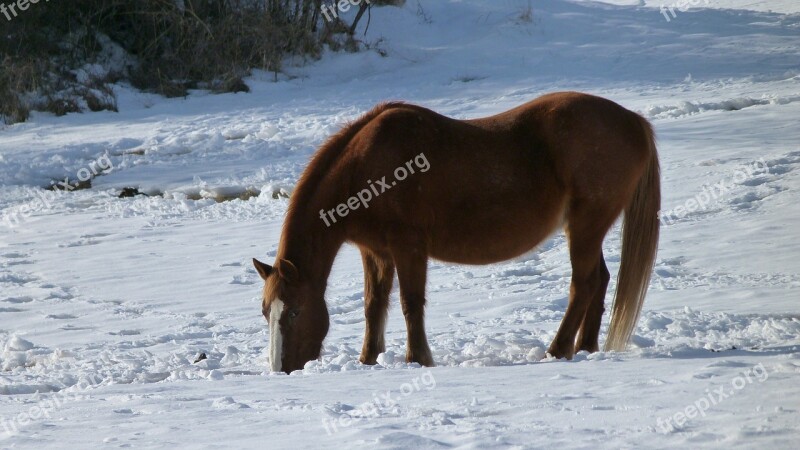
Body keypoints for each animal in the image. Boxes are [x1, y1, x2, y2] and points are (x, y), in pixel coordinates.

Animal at [256, 91, 664, 372]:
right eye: (265, 311)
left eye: (294, 311)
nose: (282, 369)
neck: (368, 169)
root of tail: (633, 121)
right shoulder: (376, 252)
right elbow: (374, 305)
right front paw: (368, 359)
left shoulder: (408, 247)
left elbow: (409, 303)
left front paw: (418, 358)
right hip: (588, 229)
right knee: (600, 279)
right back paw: (586, 348)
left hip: (585, 226)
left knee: (584, 284)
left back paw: (558, 350)